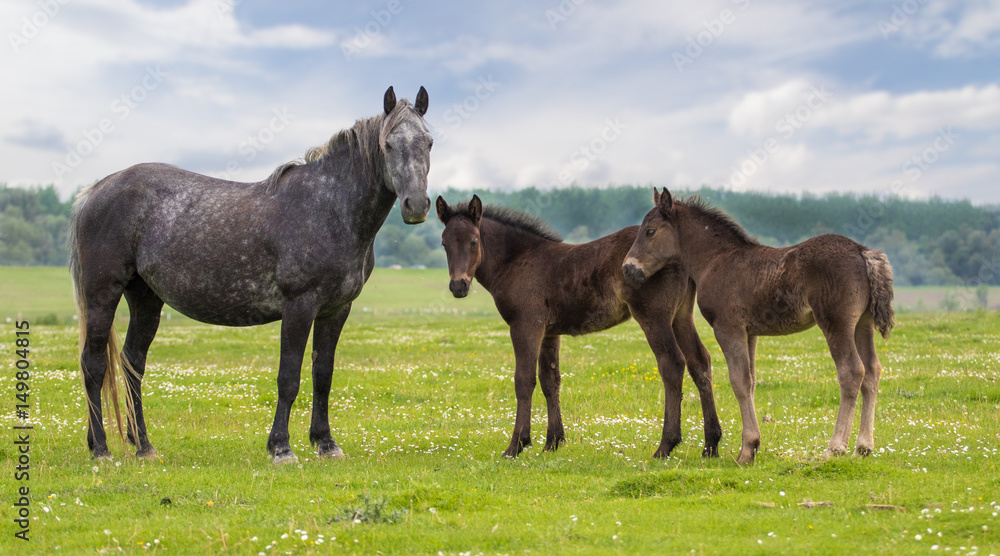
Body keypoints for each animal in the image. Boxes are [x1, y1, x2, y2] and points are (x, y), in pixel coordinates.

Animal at [68, 86, 433, 464]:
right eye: (388, 144)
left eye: (429, 142)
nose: (417, 205)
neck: (329, 207)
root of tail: (95, 191)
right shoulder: (299, 306)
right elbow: (289, 377)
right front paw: (281, 448)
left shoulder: (335, 310)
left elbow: (323, 375)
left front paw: (326, 443)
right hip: (102, 295)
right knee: (94, 364)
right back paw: (101, 449)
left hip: (145, 299)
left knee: (132, 364)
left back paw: (143, 446)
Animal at [436, 195, 722, 459]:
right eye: (444, 244)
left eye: (474, 242)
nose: (458, 286)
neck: (517, 261)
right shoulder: (549, 332)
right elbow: (550, 380)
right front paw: (553, 442)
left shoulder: (525, 324)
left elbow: (524, 380)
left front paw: (517, 445)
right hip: (681, 316)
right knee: (700, 361)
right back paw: (711, 444)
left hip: (654, 316)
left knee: (672, 364)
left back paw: (666, 446)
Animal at [622, 188, 895, 464]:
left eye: (650, 231)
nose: (628, 268)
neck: (716, 260)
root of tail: (863, 252)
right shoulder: (750, 333)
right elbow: (751, 381)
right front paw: (753, 447)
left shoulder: (728, 328)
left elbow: (739, 382)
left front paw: (747, 450)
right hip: (863, 324)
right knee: (872, 371)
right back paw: (864, 447)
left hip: (837, 322)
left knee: (852, 372)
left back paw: (836, 447)